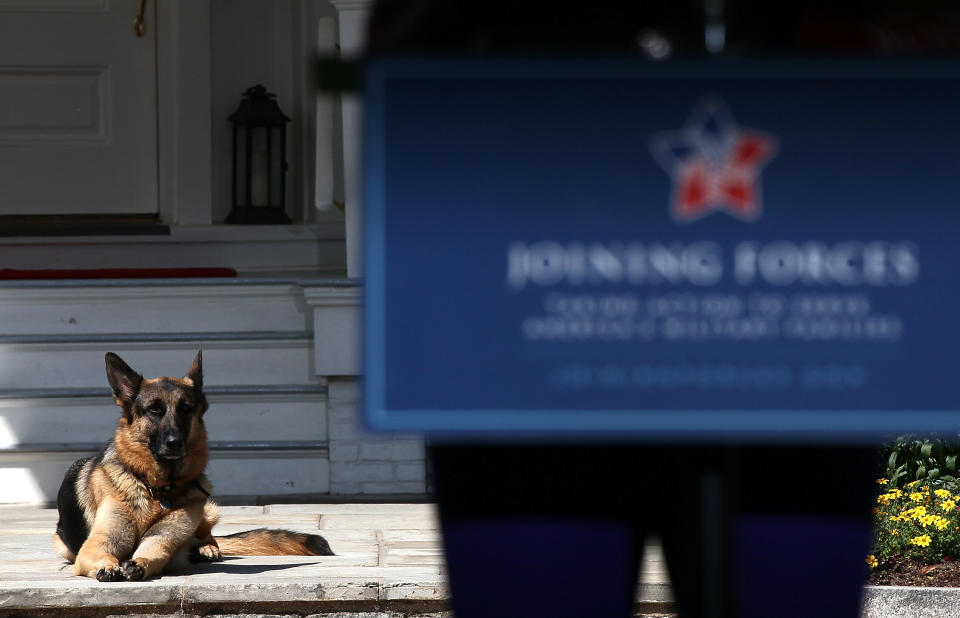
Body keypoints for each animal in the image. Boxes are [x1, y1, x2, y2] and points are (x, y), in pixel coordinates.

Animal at [56, 348, 336, 580]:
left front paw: (141, 562)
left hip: (207, 508)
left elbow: (156, 550)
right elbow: (101, 553)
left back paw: (207, 548)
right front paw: (108, 565)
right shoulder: (97, 544)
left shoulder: (165, 541)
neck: (158, 490)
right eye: (154, 410)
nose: (174, 443)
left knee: (208, 536)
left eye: (186, 409)